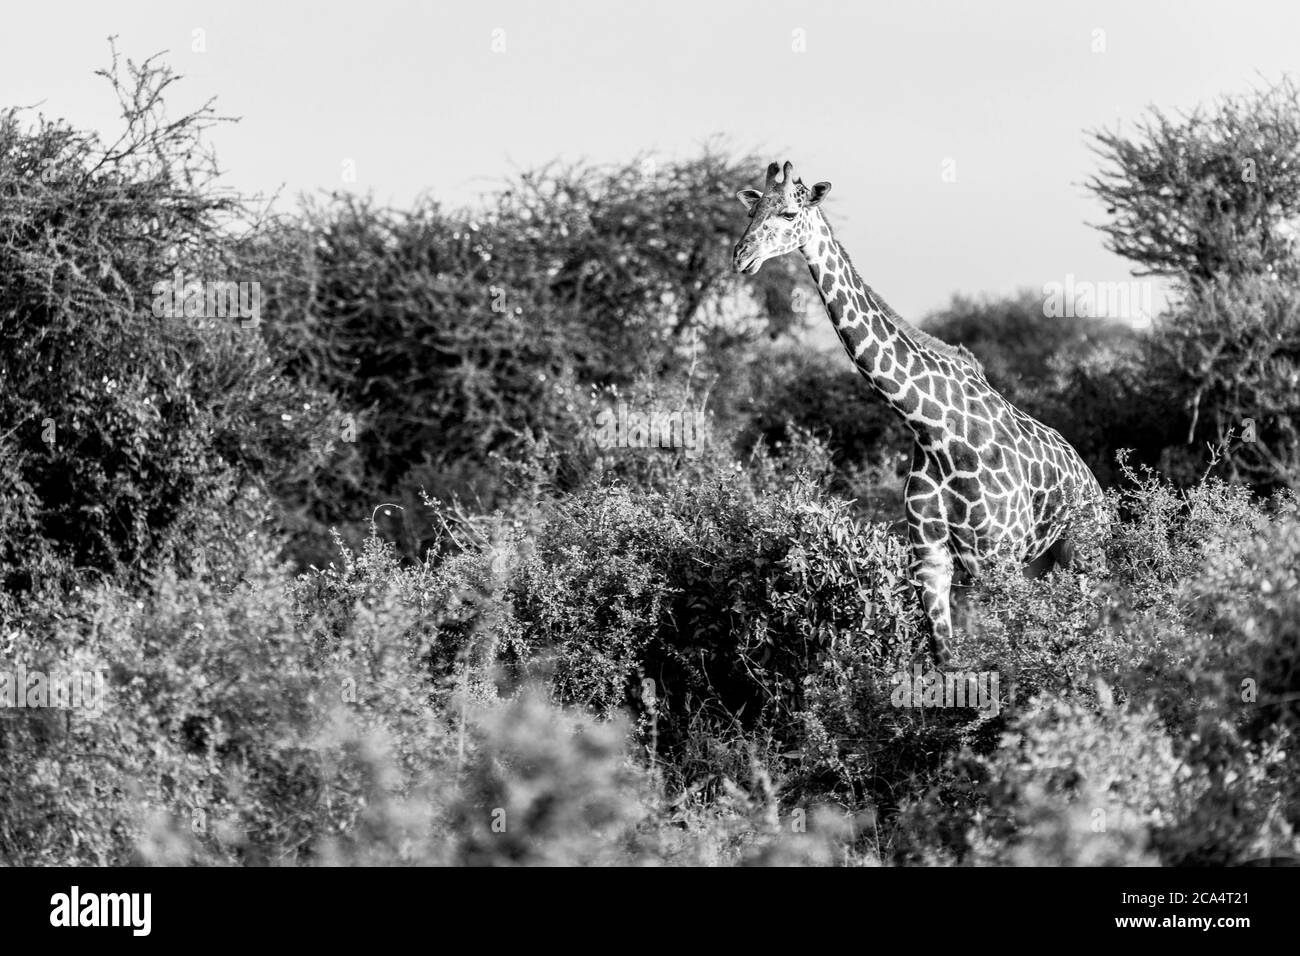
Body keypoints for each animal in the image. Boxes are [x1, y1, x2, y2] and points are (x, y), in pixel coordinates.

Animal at [738, 160, 1102, 665]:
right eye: (752, 211)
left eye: (790, 213)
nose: (741, 257)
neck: (932, 428)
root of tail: (1093, 483)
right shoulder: (930, 559)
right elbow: (947, 657)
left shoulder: (995, 557)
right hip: (1040, 564)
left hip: (1081, 554)